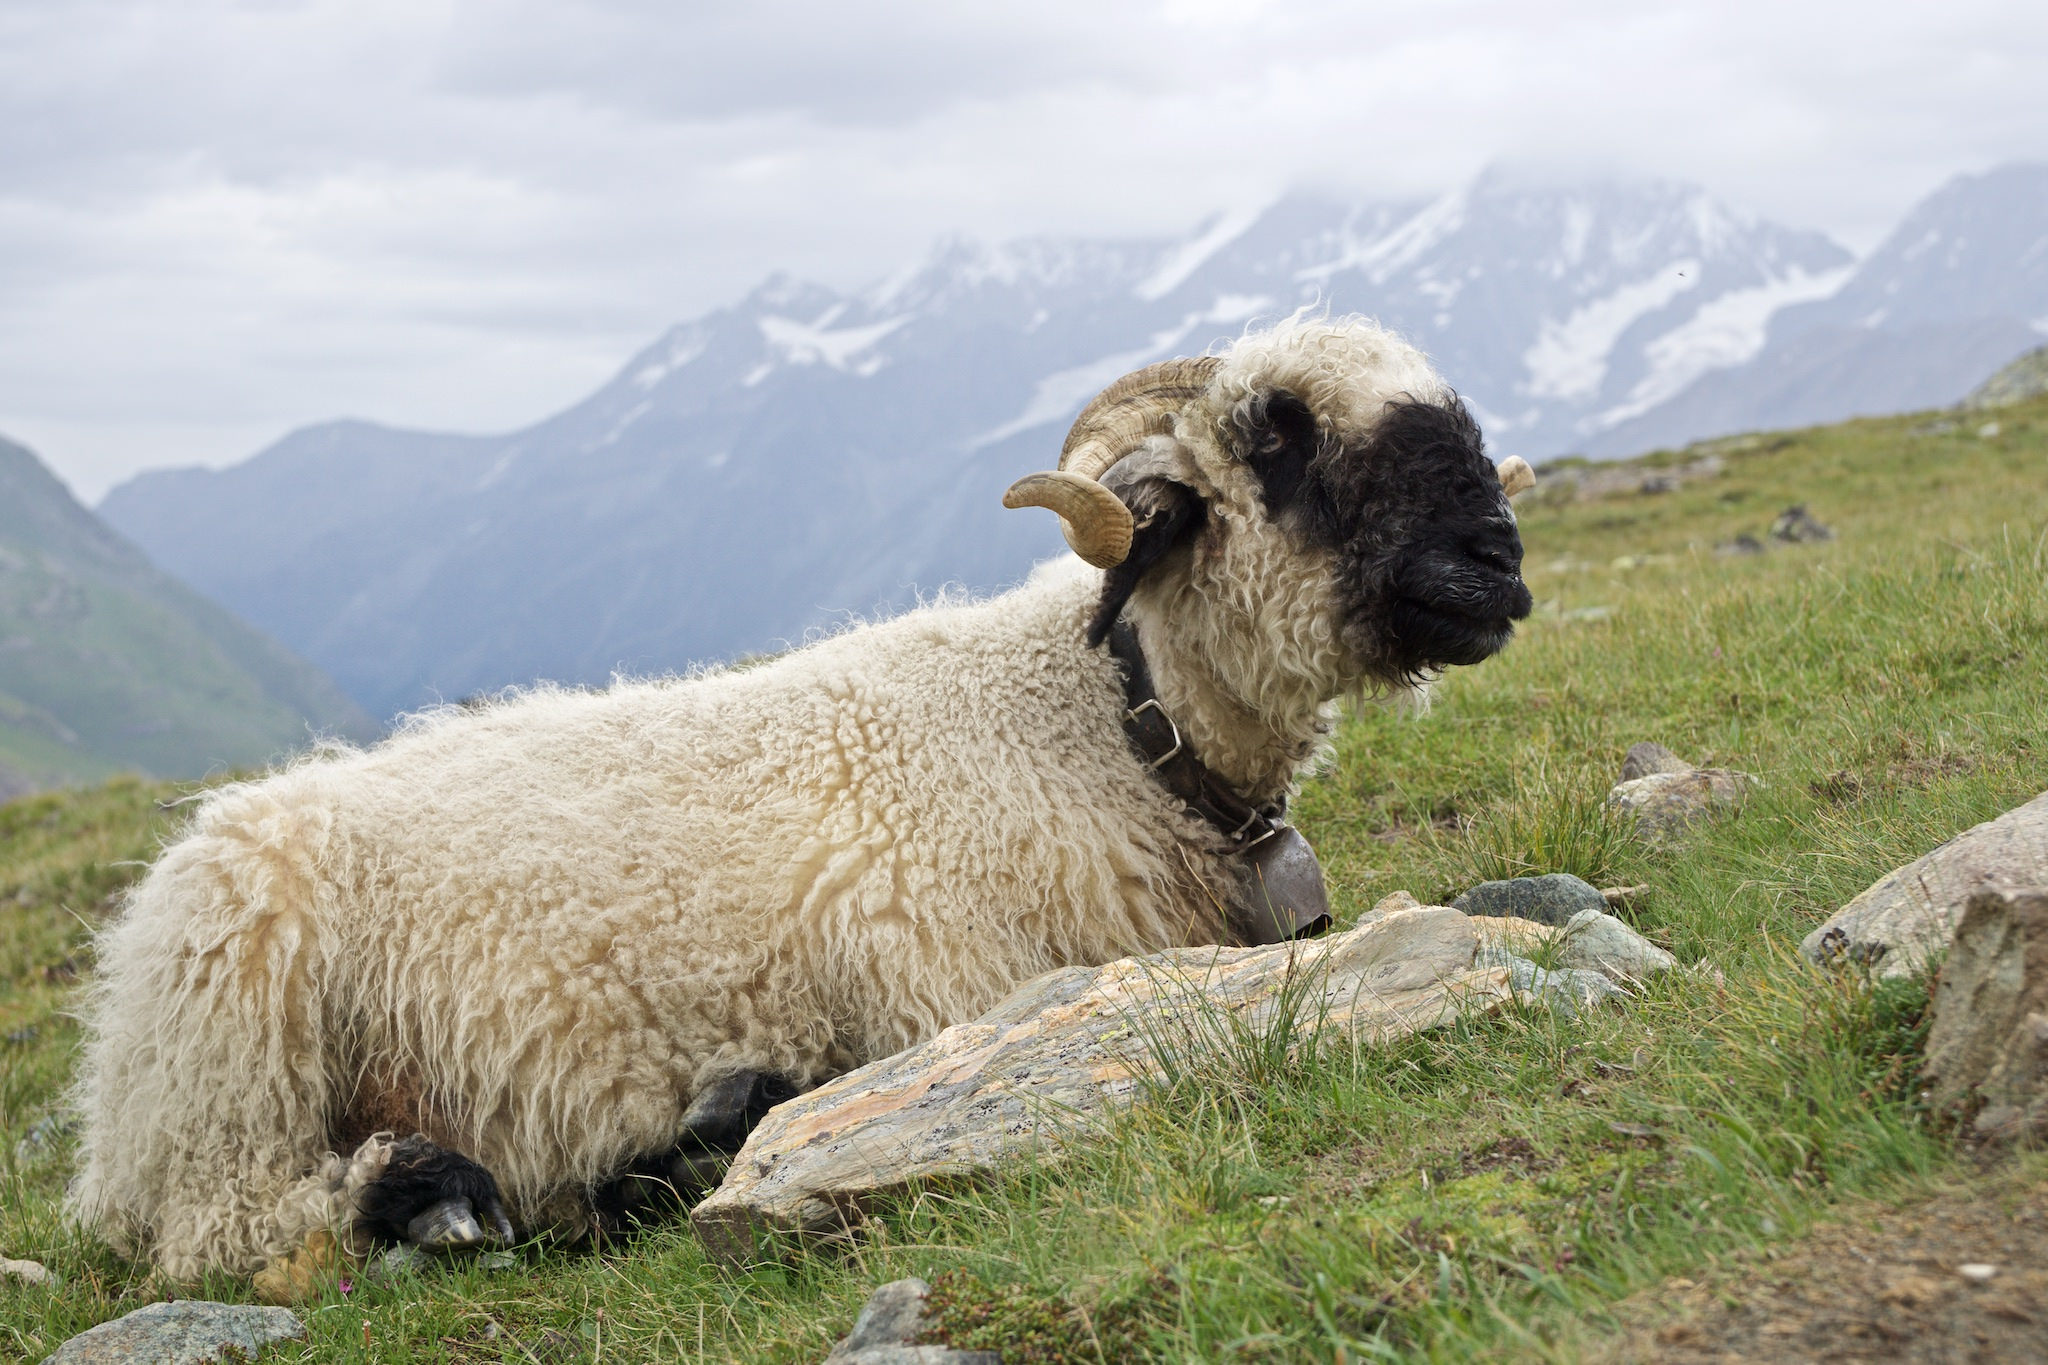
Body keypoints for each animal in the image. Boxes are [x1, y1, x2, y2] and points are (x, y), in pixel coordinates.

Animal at [68, 316, 1535, 1282]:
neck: (1104, 727)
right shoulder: (946, 991)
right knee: (215, 1230)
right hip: (230, 1066)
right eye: (1279, 440)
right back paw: (438, 1193)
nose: (1498, 566)